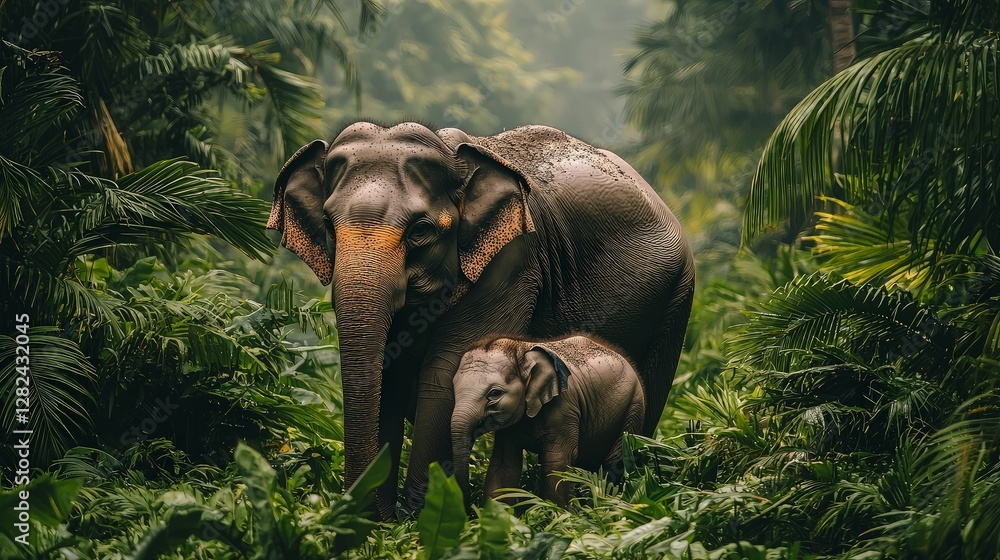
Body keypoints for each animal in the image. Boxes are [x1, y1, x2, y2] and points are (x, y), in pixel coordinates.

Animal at [450, 334, 645, 506]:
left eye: (495, 394)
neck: (522, 349)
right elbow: (504, 463)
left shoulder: (564, 408)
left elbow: (556, 461)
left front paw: (557, 514)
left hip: (634, 407)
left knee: (614, 462)